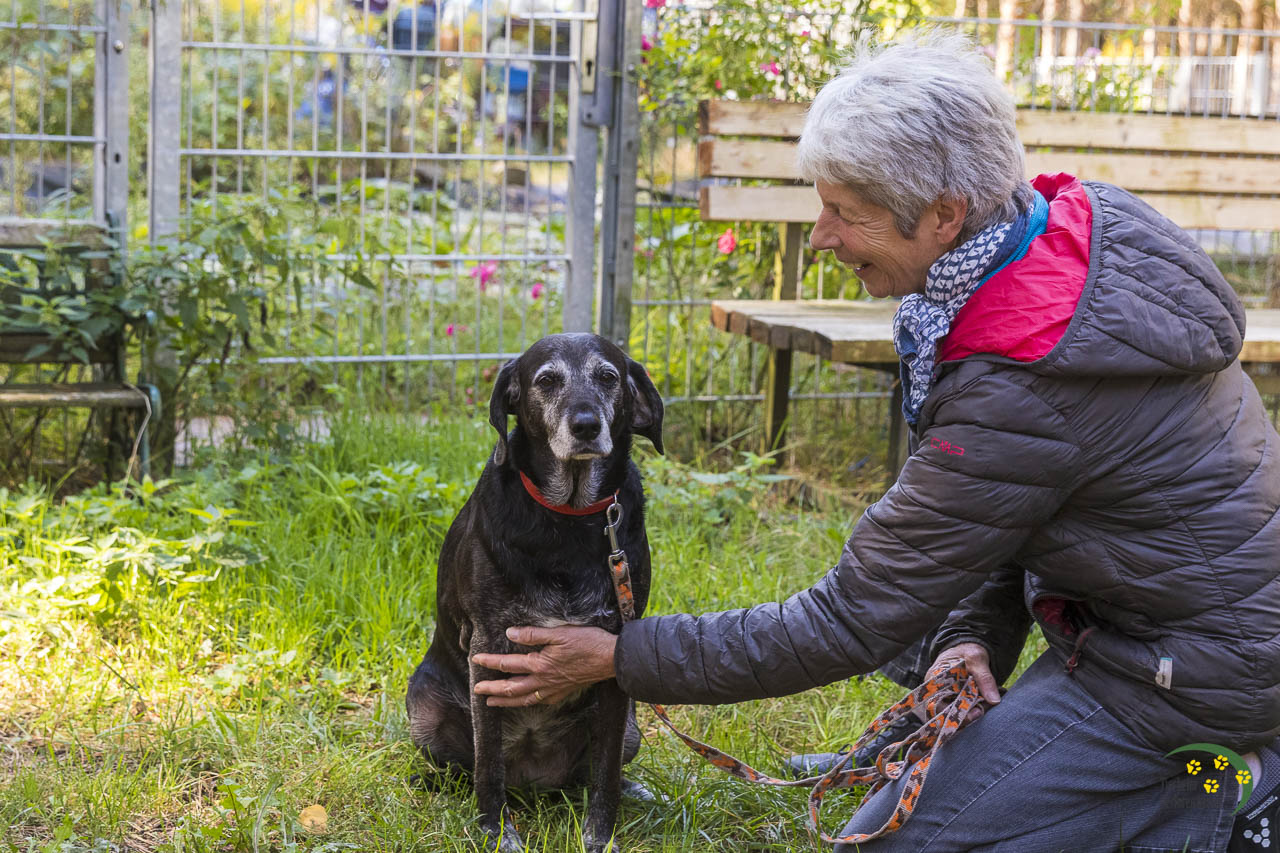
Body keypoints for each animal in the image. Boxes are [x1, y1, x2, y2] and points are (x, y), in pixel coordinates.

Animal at [406, 333, 664, 852]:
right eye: (546, 381)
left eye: (609, 376)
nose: (586, 425)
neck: (569, 519)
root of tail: (535, 779)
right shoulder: (487, 648)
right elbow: (488, 766)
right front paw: (495, 832)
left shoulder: (613, 652)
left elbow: (604, 776)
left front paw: (600, 836)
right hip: (422, 707)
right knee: (465, 770)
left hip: (630, 725)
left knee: (590, 773)